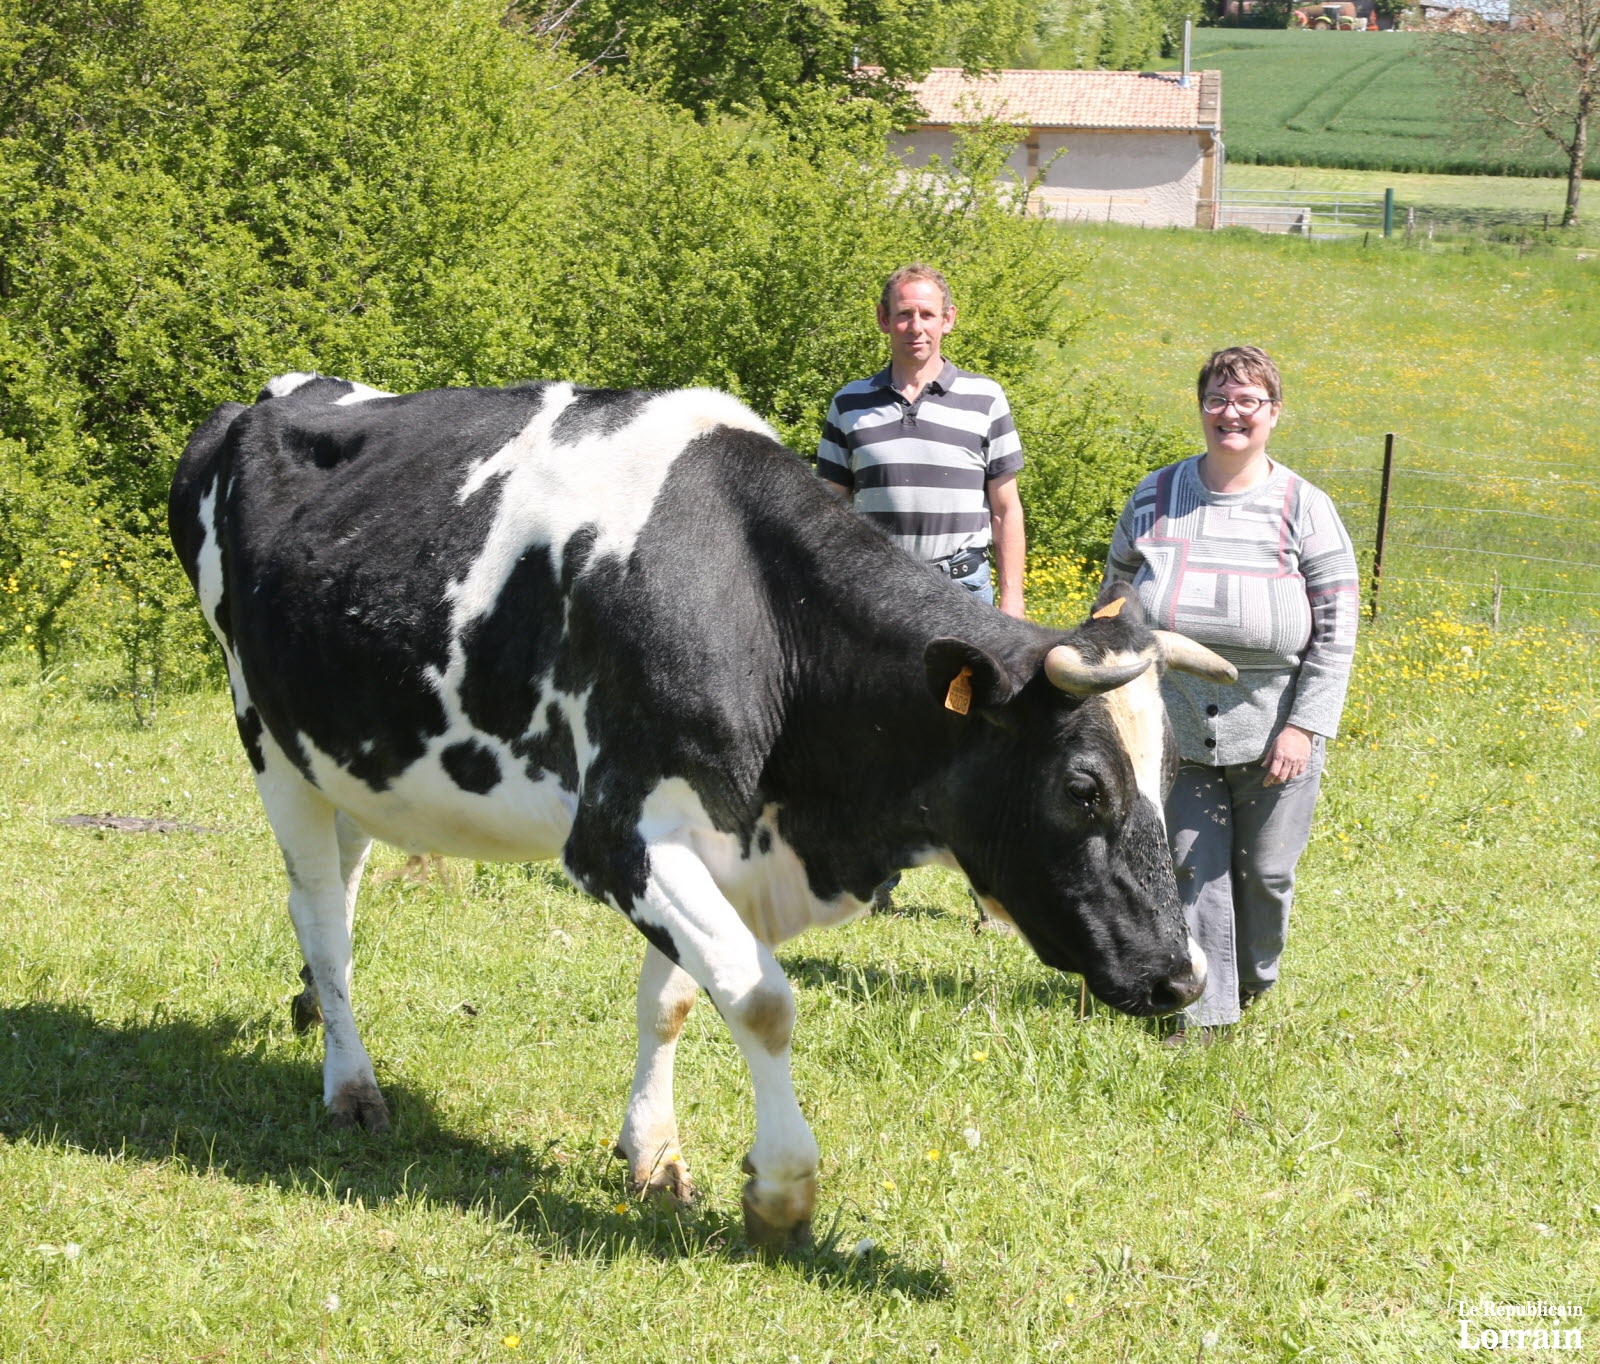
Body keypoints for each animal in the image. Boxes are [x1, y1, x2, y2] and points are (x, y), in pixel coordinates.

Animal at [168, 369, 1228, 1248]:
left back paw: (315, 1011)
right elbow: (760, 998)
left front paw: (653, 1153)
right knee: (319, 910)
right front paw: (782, 1193)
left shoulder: (714, 840)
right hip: (265, 736)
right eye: (1083, 788)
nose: (1180, 976)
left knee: (341, 888)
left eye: (1173, 774)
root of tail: (260, 400)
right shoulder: (617, 837)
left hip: (344, 750)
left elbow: (677, 997)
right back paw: (351, 1085)